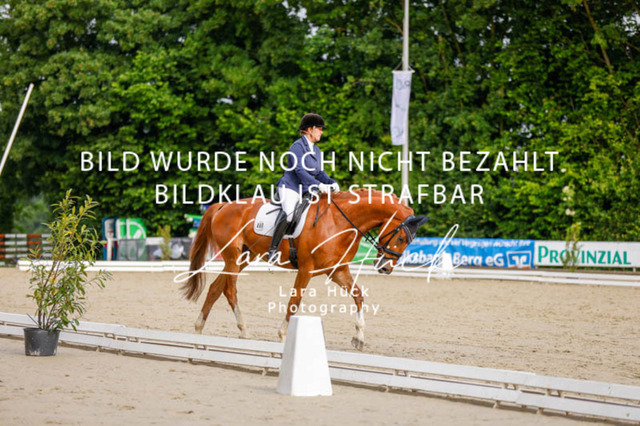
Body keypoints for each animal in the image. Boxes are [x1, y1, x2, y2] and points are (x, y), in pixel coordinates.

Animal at [179, 188, 428, 350]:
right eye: (402, 237)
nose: (386, 268)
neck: (339, 222)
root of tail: (224, 205)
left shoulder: (337, 271)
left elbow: (358, 296)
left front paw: (359, 337)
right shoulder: (306, 270)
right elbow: (294, 301)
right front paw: (282, 335)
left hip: (243, 258)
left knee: (215, 288)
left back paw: (199, 329)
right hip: (233, 257)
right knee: (230, 290)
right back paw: (243, 330)